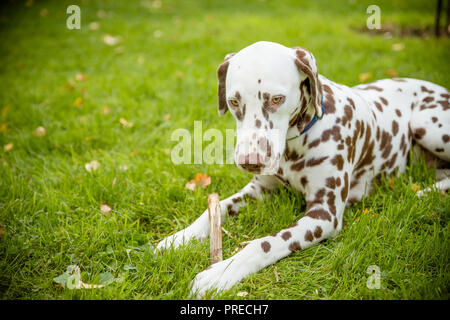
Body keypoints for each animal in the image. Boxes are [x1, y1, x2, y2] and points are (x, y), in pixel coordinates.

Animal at [156, 40, 450, 298]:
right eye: (234, 101)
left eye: (276, 99)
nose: (250, 160)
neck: (295, 144)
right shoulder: (258, 190)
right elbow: (215, 211)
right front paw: (178, 238)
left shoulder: (324, 215)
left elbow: (264, 243)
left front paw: (221, 273)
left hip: (425, 123)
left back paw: (426, 193)